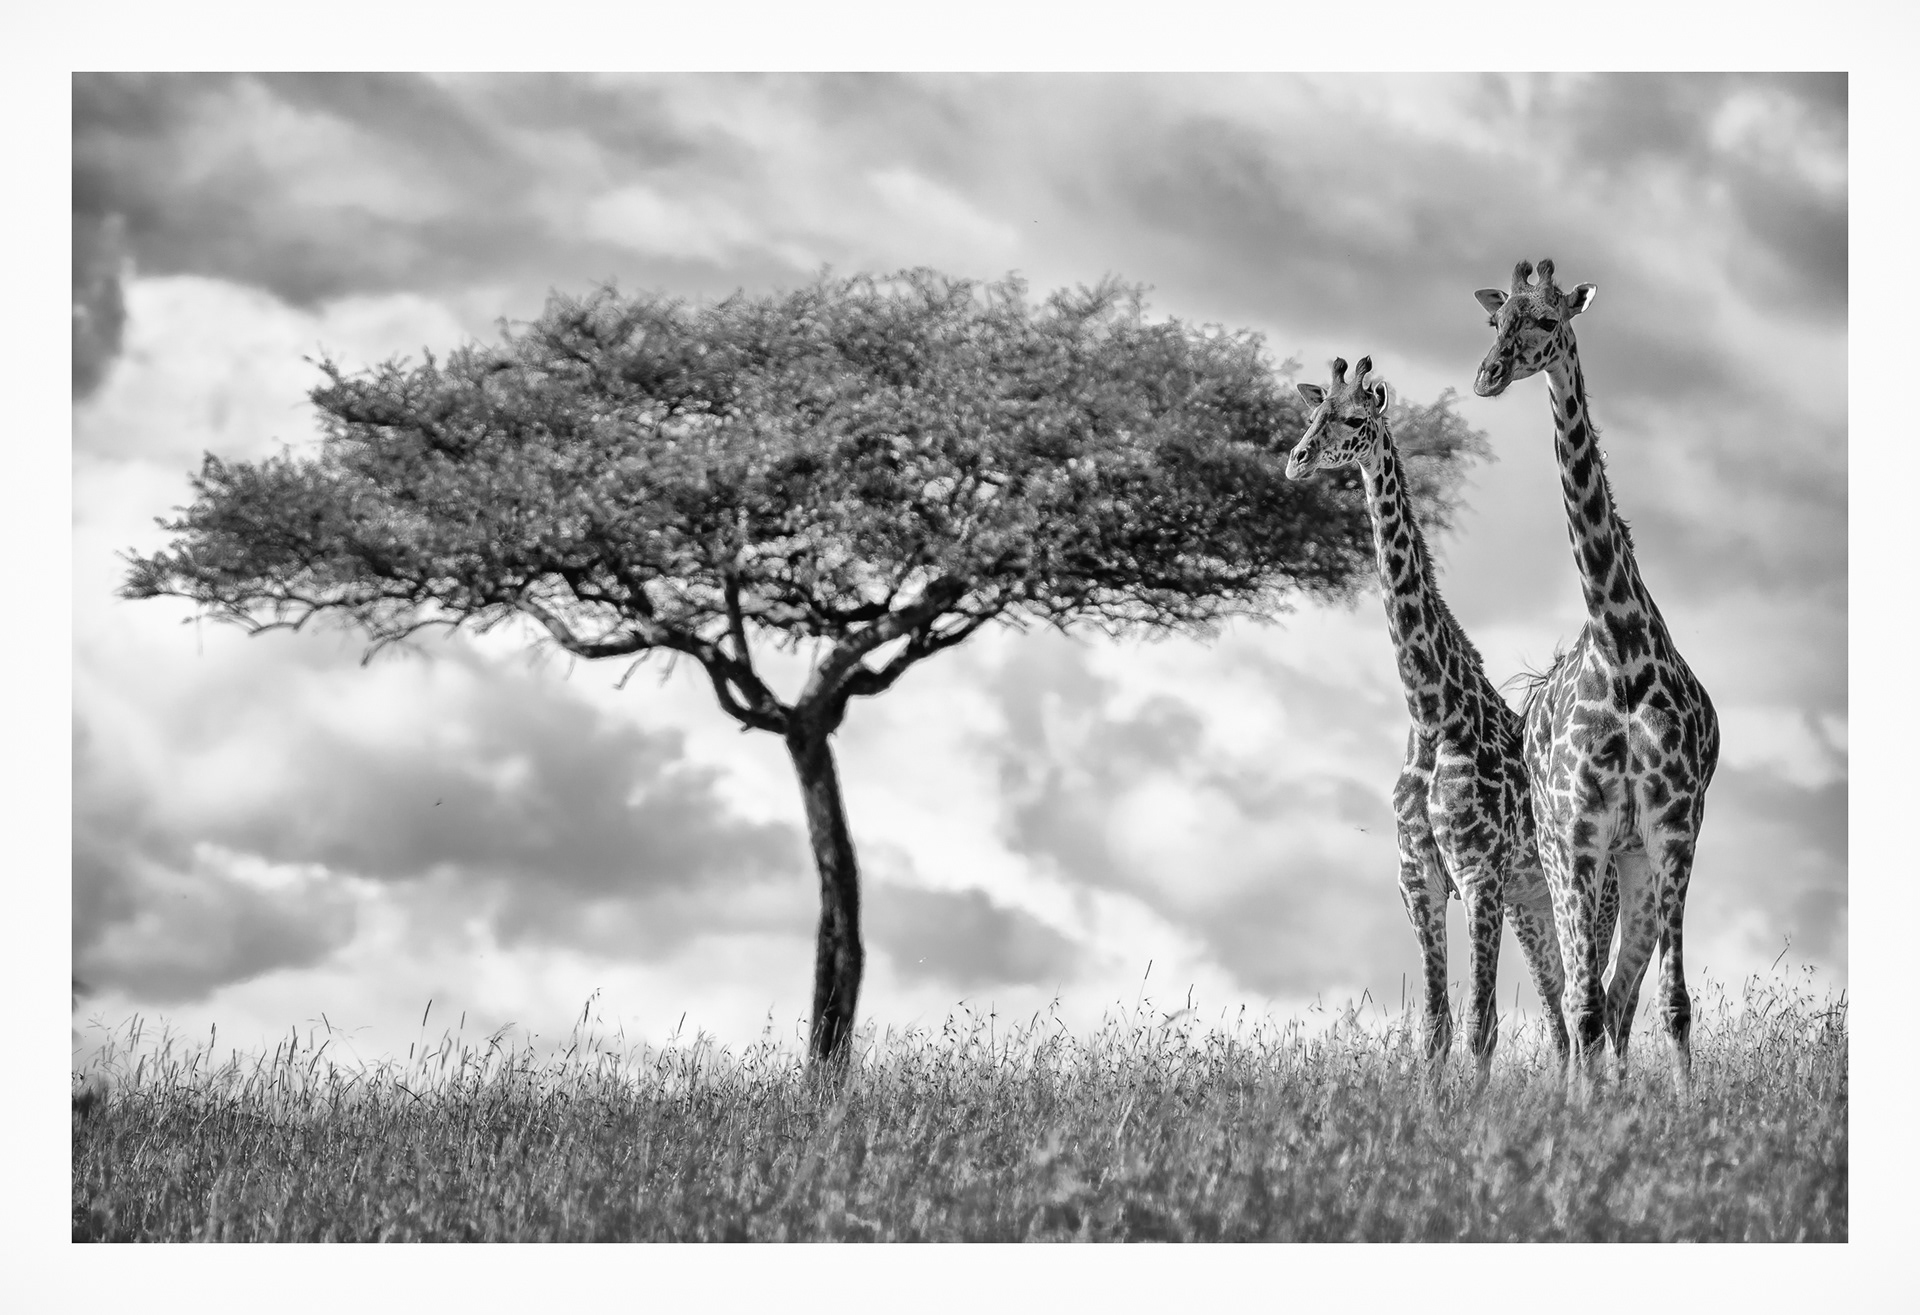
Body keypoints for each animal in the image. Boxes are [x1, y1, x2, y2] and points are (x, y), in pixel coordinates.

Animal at [1285, 355, 1569, 1086]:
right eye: (1311, 412)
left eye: (1355, 417)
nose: (1297, 459)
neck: (1432, 711)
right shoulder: (1419, 880)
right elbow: (1436, 1028)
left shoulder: (1479, 875)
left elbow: (1481, 1027)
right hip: (1531, 900)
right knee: (1560, 1004)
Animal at [1472, 259, 1720, 1097]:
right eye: (1496, 321)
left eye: (1549, 321)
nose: (1487, 375)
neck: (1621, 650)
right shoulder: (1579, 828)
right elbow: (1581, 1002)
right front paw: (1585, 1115)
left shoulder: (1674, 828)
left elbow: (1671, 1002)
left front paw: (1687, 1111)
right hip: (1561, 850)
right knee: (1580, 996)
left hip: (1631, 858)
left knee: (1615, 995)